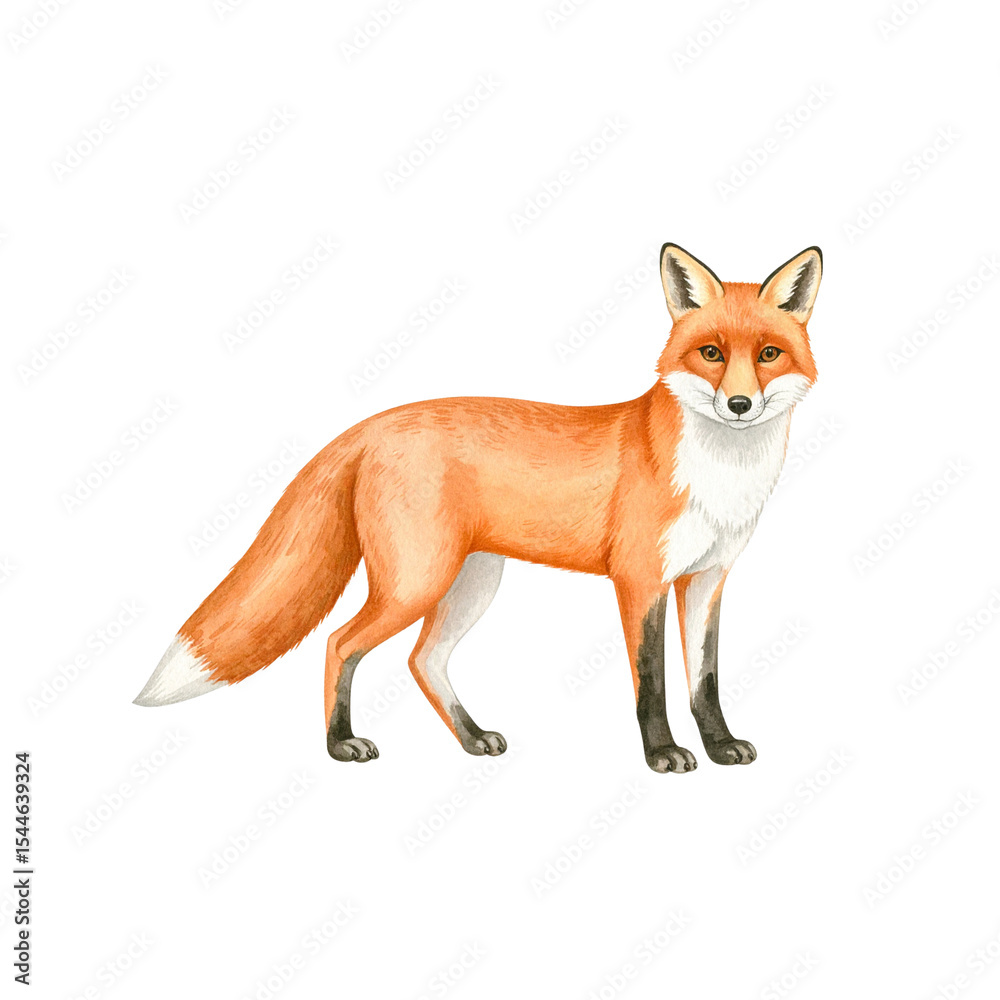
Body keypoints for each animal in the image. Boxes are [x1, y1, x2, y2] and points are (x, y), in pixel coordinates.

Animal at [134, 243, 822, 773]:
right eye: (711, 353)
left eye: (768, 354)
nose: (739, 405)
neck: (720, 477)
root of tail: (369, 425)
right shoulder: (639, 580)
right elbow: (650, 683)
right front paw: (662, 756)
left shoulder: (706, 580)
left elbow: (705, 681)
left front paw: (721, 746)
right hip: (416, 581)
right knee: (338, 643)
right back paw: (339, 744)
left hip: (470, 583)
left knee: (423, 660)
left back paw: (471, 738)